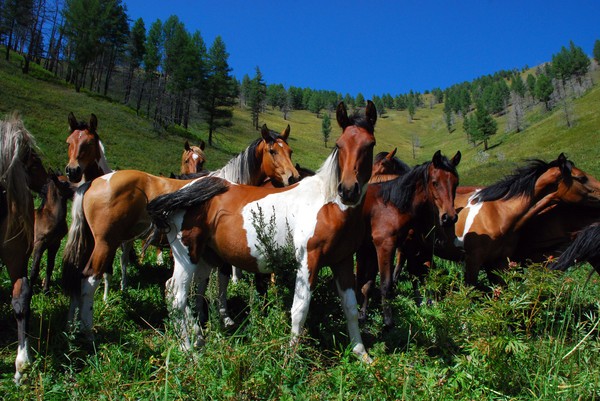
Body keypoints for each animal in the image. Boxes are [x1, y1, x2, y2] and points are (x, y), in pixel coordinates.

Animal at [61, 124, 300, 337]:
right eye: (272, 151)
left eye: (289, 151)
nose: (293, 177)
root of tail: (92, 183)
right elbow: (221, 282)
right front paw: (224, 317)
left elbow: (202, 283)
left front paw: (201, 314)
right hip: (106, 244)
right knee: (89, 280)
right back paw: (88, 332)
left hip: (94, 242)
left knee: (78, 277)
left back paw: (72, 327)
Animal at [146, 101, 377, 361]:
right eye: (339, 145)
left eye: (370, 144)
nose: (348, 191)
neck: (327, 204)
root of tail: (185, 189)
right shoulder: (308, 261)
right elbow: (300, 309)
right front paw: (290, 359)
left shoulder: (343, 262)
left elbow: (350, 308)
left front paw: (362, 354)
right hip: (187, 255)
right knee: (176, 295)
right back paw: (190, 353)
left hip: (204, 258)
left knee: (189, 293)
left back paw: (198, 339)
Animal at [355, 150, 461, 326]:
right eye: (435, 183)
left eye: (456, 183)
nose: (449, 218)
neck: (389, 206)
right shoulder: (386, 247)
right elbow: (385, 283)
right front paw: (388, 321)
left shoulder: (373, 248)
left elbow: (367, 284)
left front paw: (362, 315)